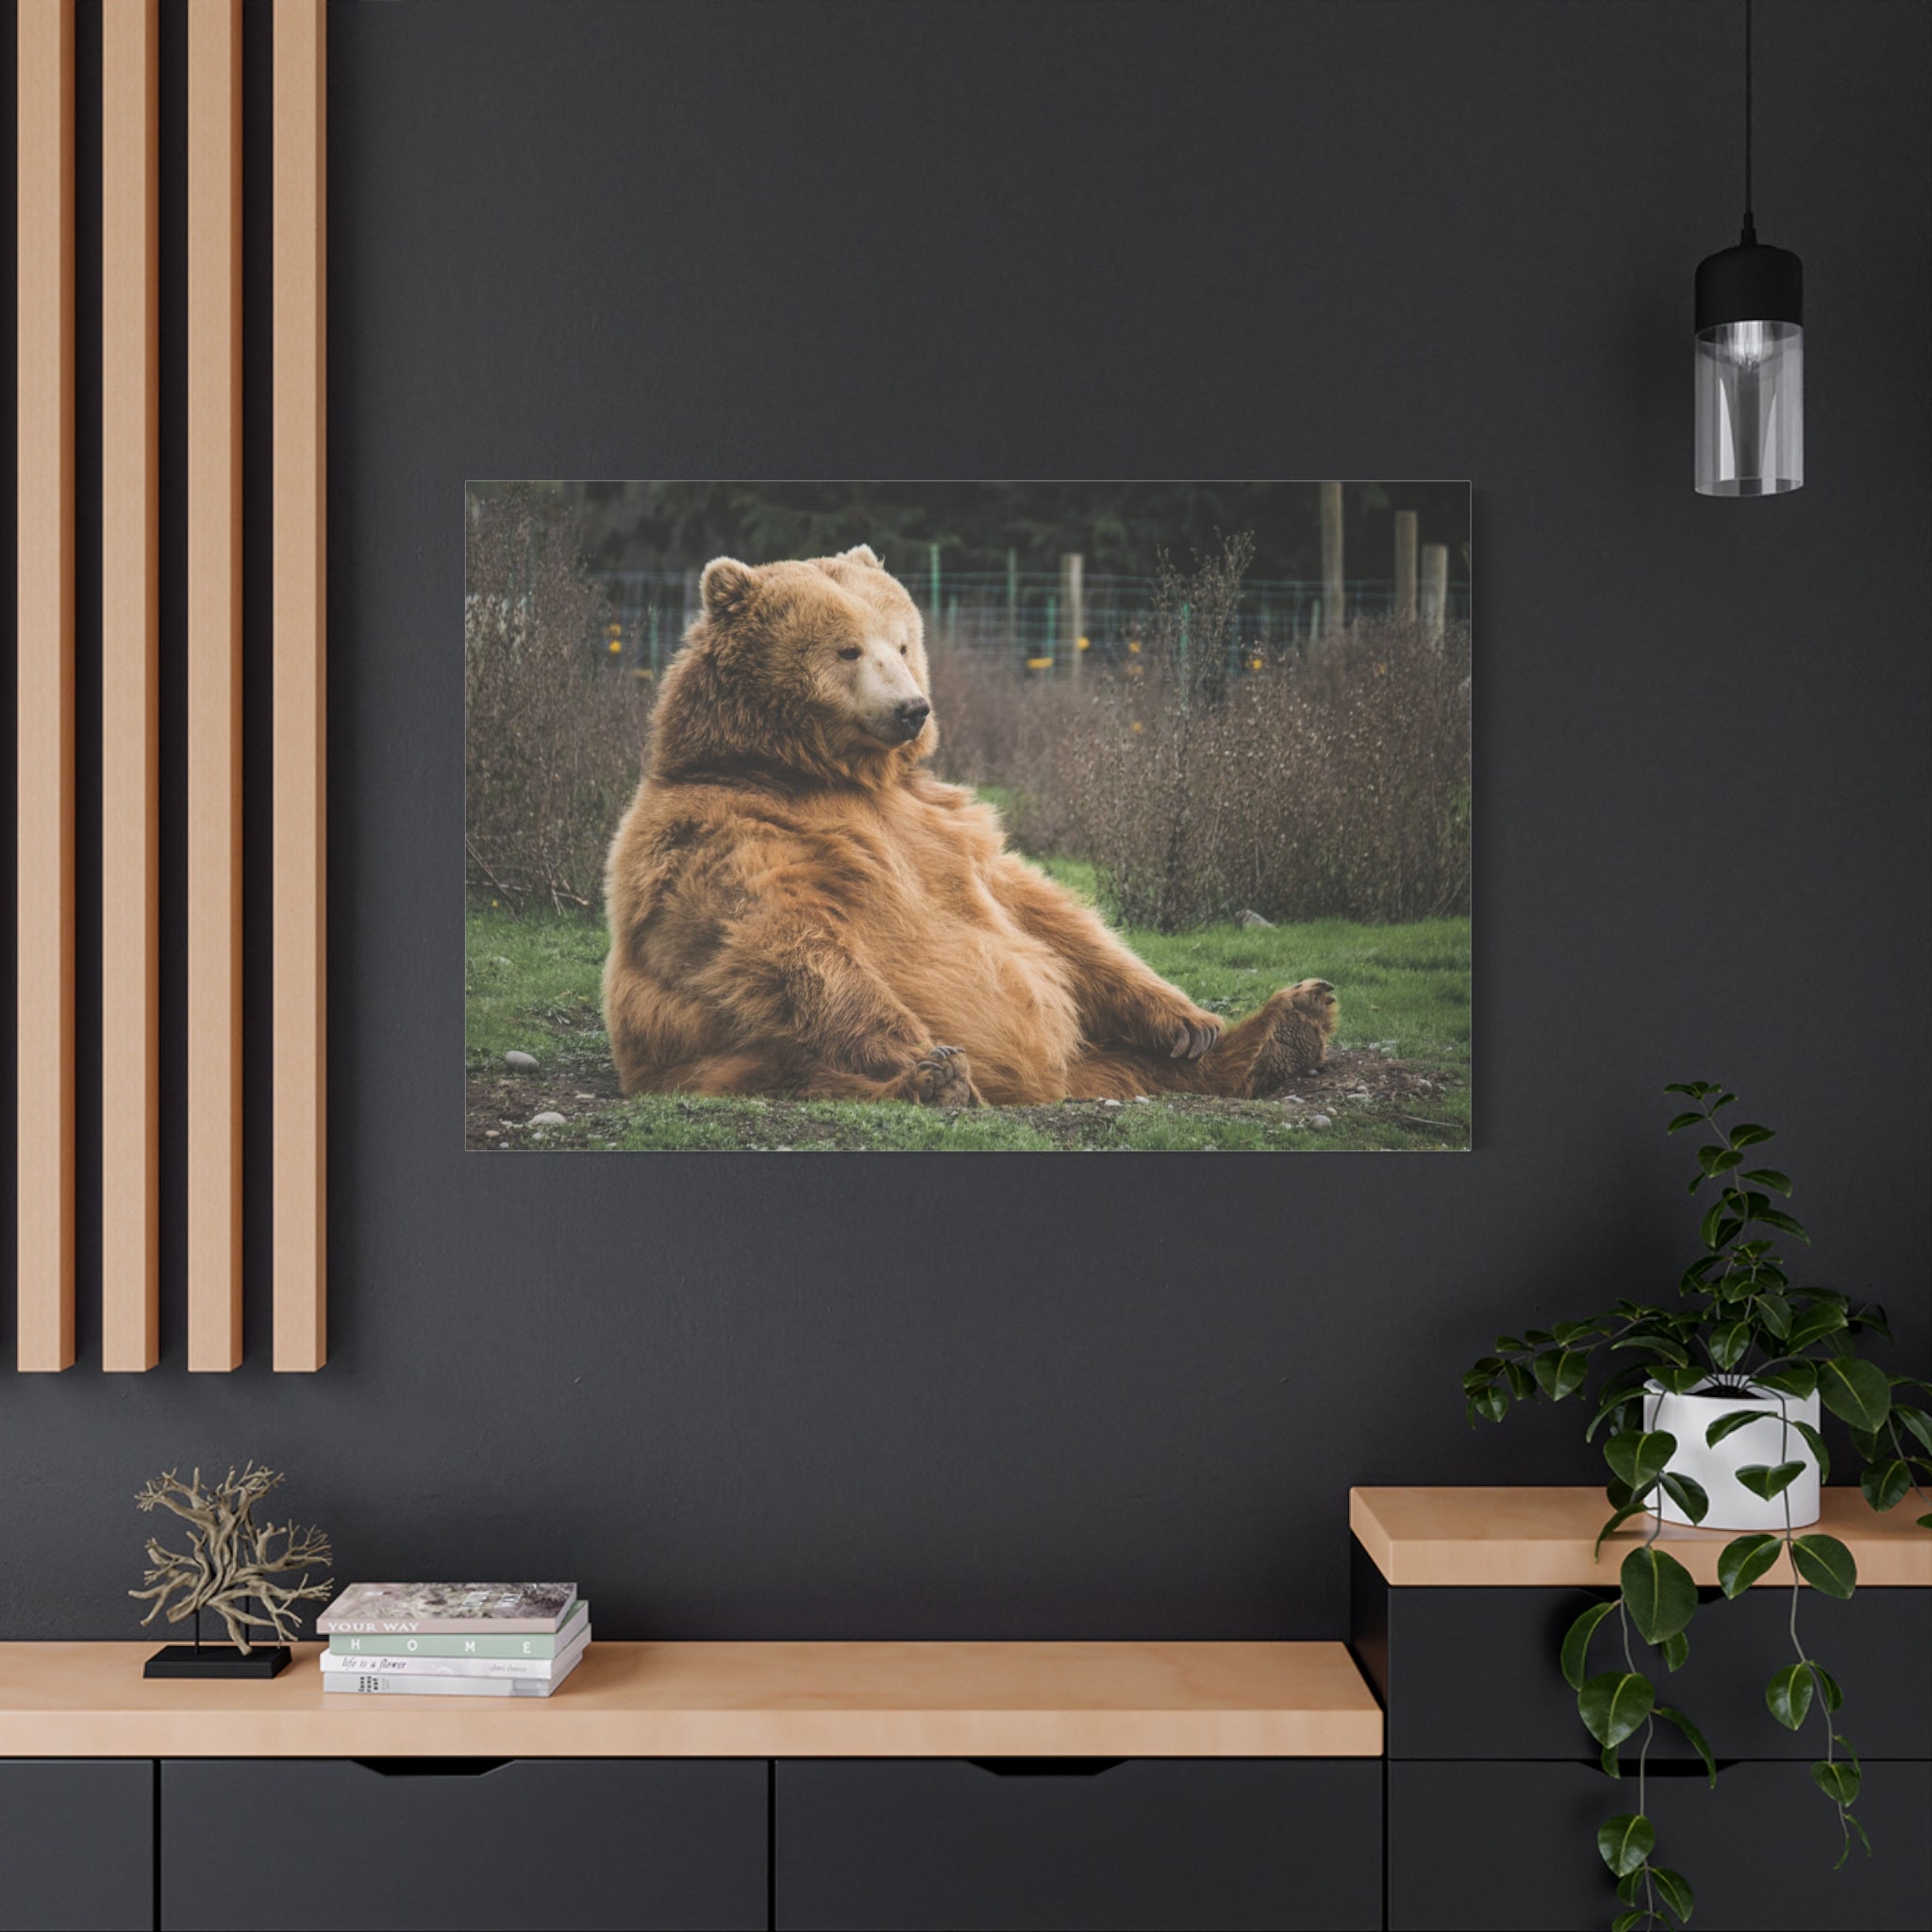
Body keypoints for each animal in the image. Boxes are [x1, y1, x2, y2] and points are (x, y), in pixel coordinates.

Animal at [601, 546, 1339, 1107]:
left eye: (902, 642)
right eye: (847, 650)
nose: (911, 708)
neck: (821, 773)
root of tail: (1048, 1085)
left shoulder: (943, 824)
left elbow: (1045, 913)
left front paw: (1189, 1021)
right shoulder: (725, 833)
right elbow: (783, 939)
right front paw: (924, 1052)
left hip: (1094, 1053)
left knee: (1137, 1063)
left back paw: (1286, 1026)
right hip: (713, 1057)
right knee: (801, 1070)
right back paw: (936, 1081)